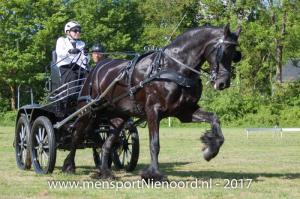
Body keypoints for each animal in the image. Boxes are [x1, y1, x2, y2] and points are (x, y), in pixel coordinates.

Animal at [61, 24, 241, 181]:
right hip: (88, 111)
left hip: (119, 116)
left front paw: (210, 150)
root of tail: (97, 68)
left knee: (108, 143)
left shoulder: (185, 112)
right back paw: (68, 166)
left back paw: (105, 172)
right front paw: (154, 174)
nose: (223, 83)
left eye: (235, 54)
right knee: (77, 135)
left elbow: (214, 120)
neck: (174, 67)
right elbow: (155, 144)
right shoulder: (153, 111)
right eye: (223, 51)